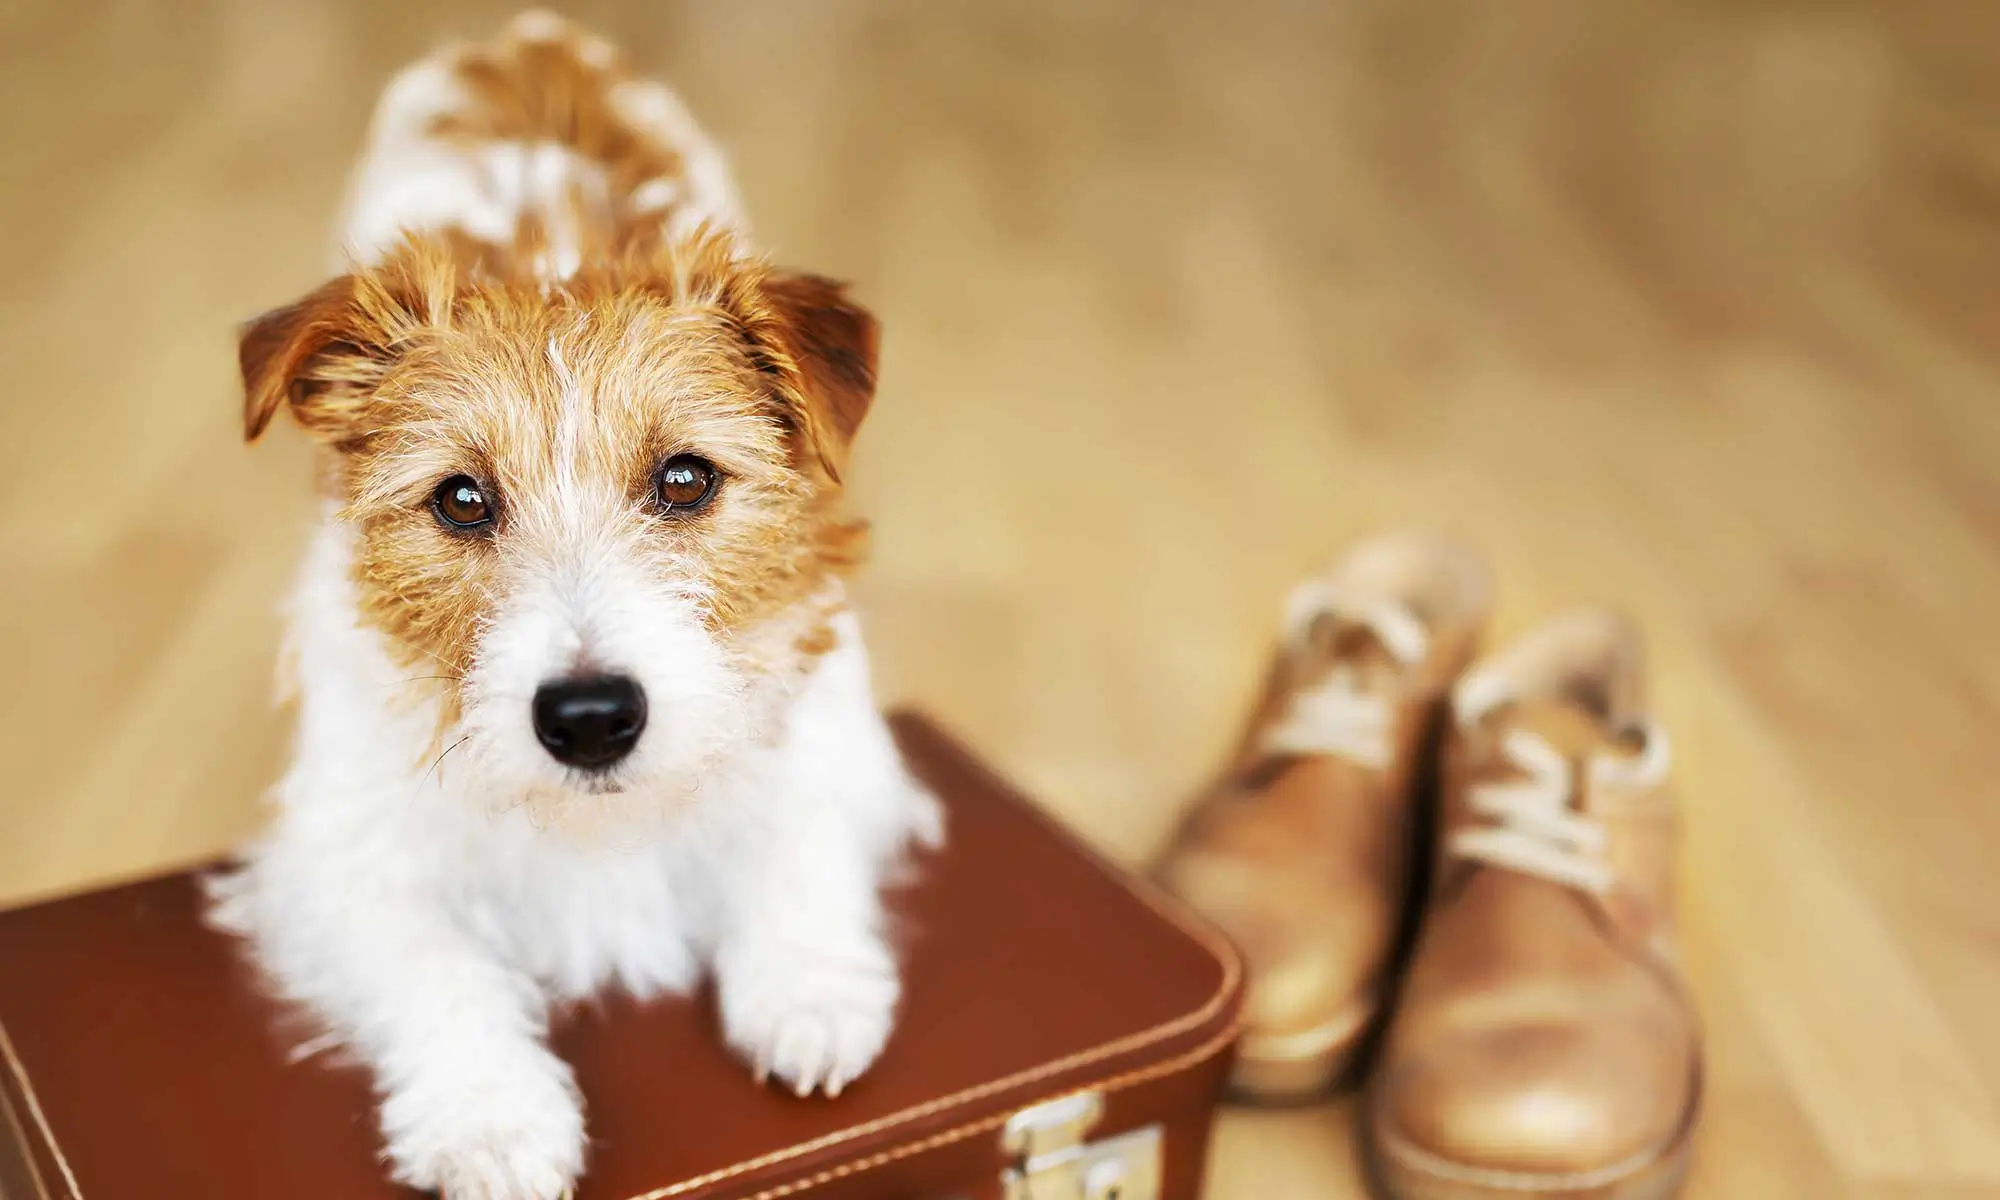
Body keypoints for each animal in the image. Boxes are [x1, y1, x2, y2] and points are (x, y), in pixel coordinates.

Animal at [207, 11, 940, 1200]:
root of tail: (528, 34)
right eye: (460, 499)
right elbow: (432, 961)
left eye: (685, 478)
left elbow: (796, 825)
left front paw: (810, 986)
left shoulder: (829, 720)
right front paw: (490, 1116)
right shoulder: (336, 850)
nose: (591, 719)